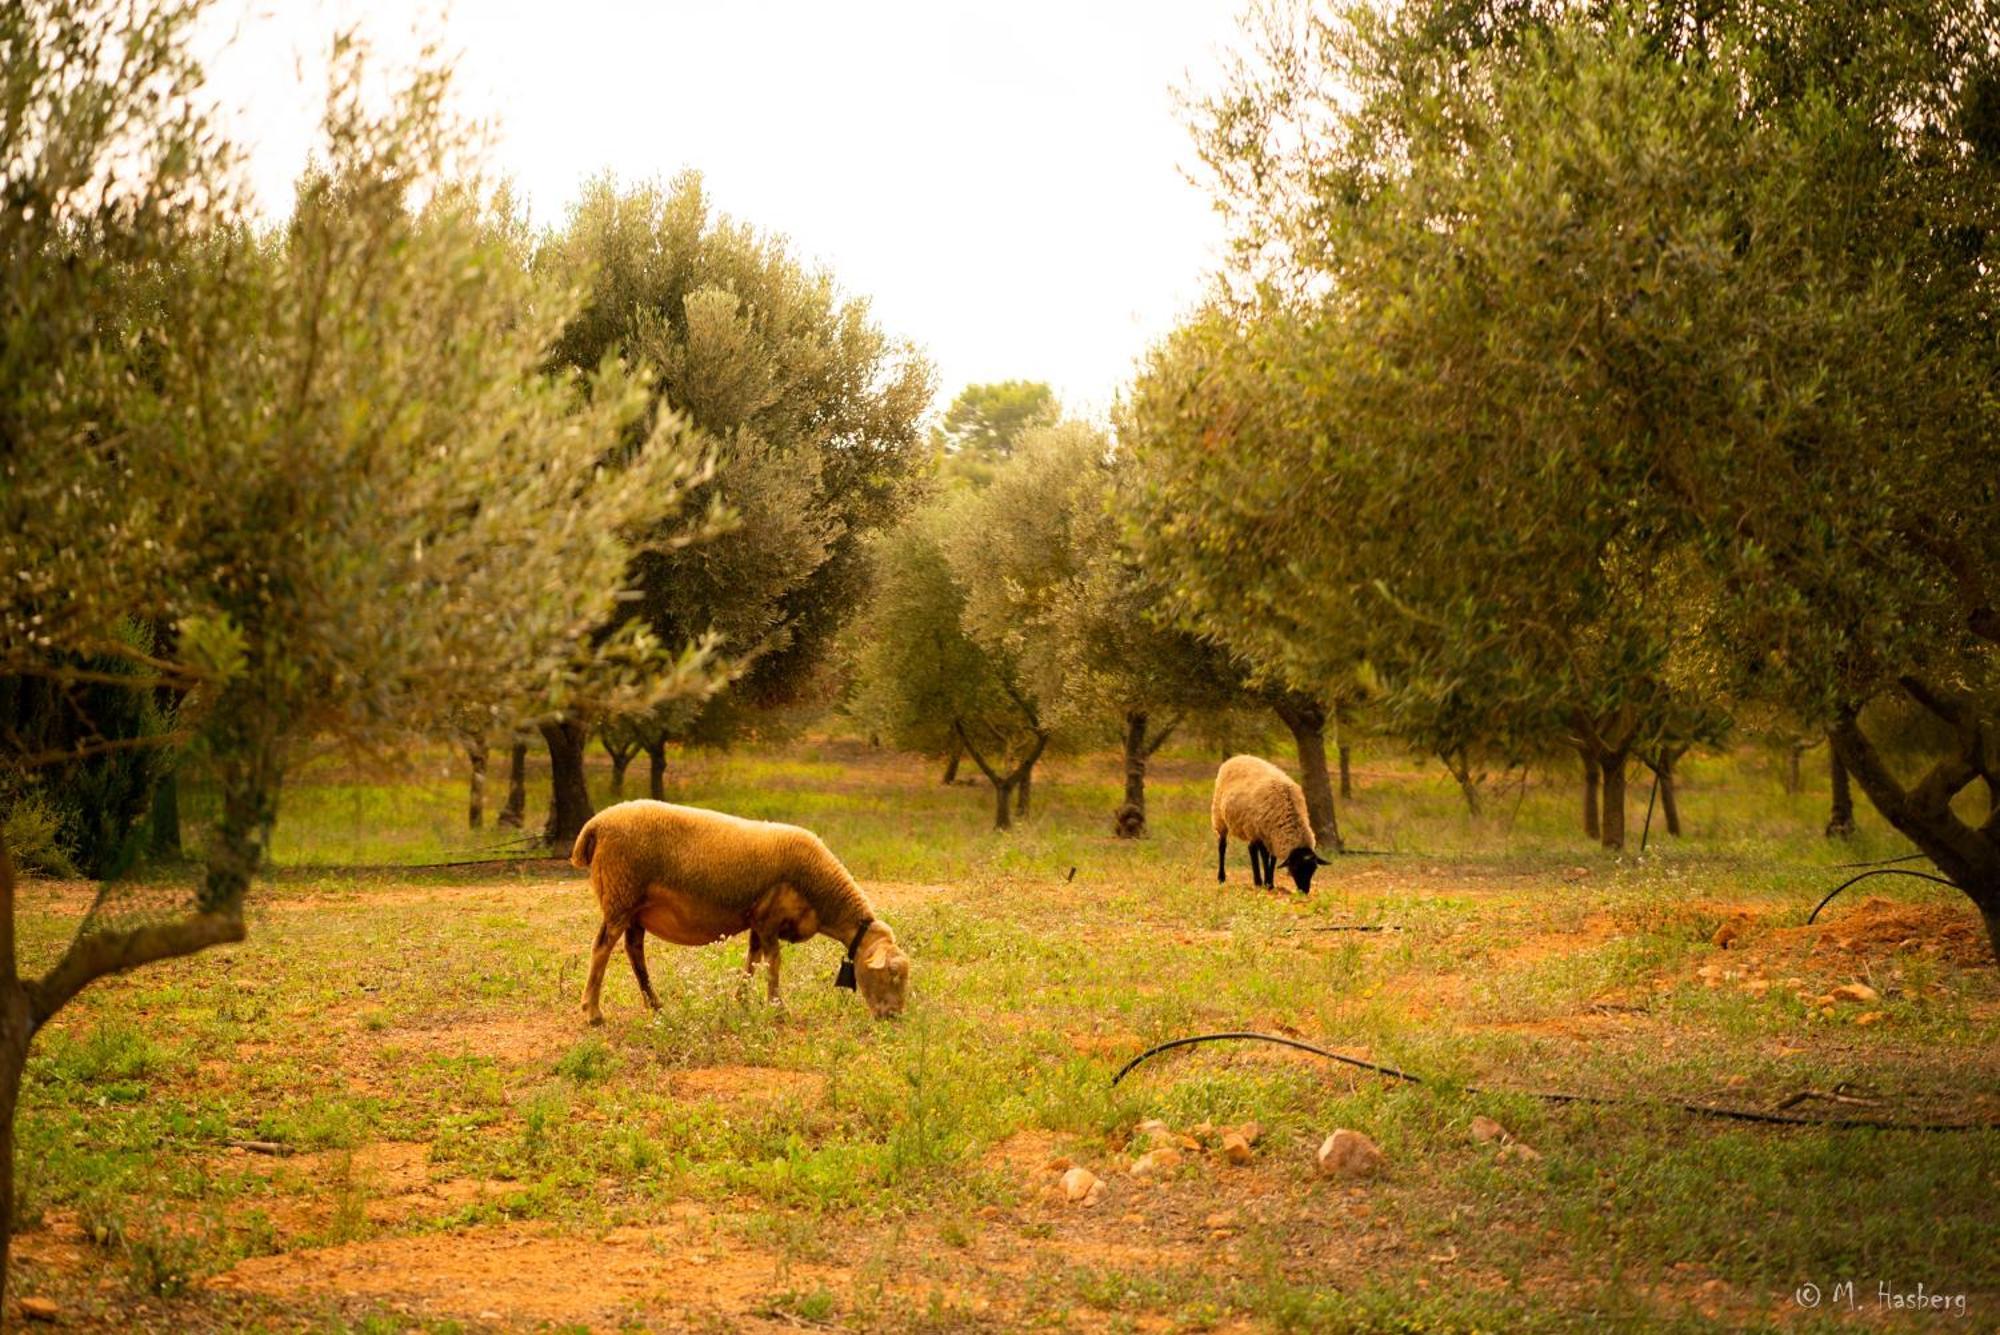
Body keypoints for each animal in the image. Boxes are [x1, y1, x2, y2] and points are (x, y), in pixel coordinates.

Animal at [572, 803, 916, 1023]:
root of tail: (596, 825)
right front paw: (778, 1009)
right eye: (892, 974)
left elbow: (753, 960)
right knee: (602, 947)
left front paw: (743, 1002)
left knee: (634, 952)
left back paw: (655, 1006)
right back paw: (593, 1013)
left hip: (635, 908)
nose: (894, 1017)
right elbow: (774, 963)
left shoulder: (757, 920)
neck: (821, 890)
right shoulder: (770, 917)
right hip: (621, 896)